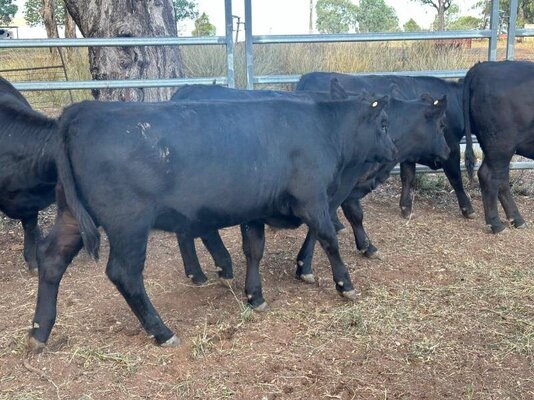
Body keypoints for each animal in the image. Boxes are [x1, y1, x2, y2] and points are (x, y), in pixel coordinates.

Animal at [29, 82, 398, 350]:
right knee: (125, 274)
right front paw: (345, 285)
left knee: (52, 259)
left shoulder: (256, 208)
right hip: (128, 223)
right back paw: (162, 331)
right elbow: (328, 239)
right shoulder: (313, 198)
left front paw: (254, 295)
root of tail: (81, 111)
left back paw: (38, 332)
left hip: (70, 215)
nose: (394, 151)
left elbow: (254, 249)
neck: (324, 129)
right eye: (383, 124)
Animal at [298, 73, 478, 220]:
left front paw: (405, 207)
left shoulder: (409, 154)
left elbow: (408, 176)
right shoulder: (451, 148)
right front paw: (467, 208)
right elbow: (455, 178)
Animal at [464, 60, 534, 233]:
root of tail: (483, 66)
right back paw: (496, 224)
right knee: (489, 175)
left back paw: (517, 220)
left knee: (501, 178)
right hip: (501, 145)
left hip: (496, 148)